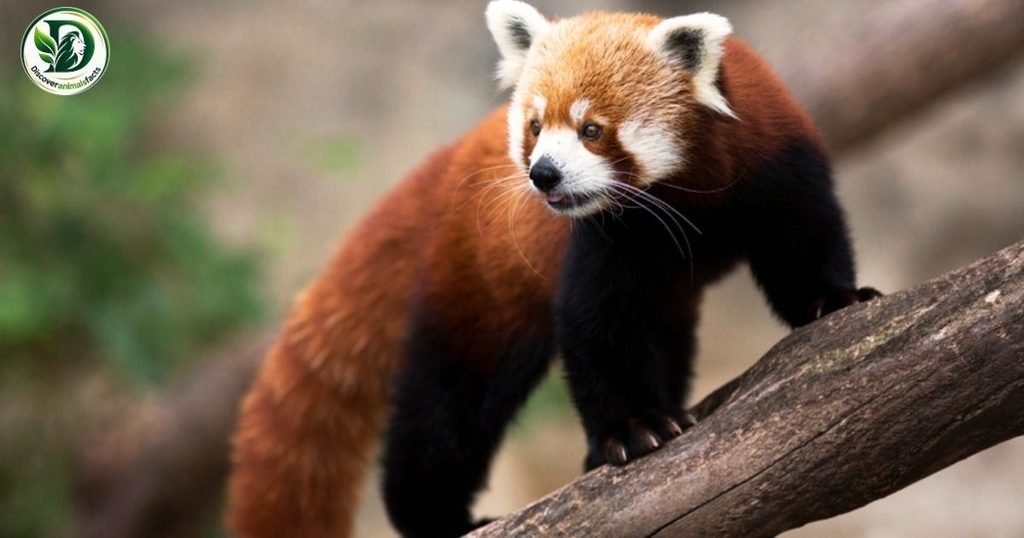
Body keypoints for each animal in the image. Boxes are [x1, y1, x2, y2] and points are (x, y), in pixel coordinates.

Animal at [226, 2, 881, 537]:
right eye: (537, 126)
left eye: (592, 130)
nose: (542, 174)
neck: (689, 197)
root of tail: (454, 156)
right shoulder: (609, 238)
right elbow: (597, 326)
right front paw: (630, 430)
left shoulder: (777, 163)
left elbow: (805, 240)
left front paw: (833, 300)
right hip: (479, 280)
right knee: (451, 401)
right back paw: (435, 515)